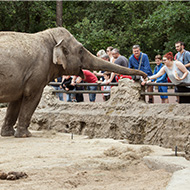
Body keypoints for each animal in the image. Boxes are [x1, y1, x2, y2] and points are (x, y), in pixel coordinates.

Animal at [0, 26, 147, 137]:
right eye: (81, 50)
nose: (143, 77)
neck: (49, 36)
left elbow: (16, 102)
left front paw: (8, 134)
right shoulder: (36, 74)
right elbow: (32, 98)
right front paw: (26, 135)